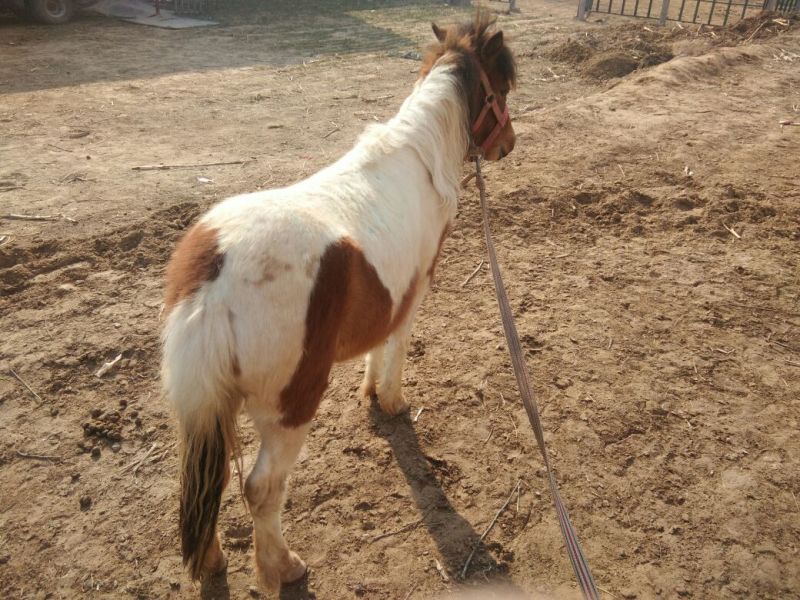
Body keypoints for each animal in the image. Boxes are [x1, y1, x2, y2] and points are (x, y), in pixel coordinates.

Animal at [161, 14, 517, 591]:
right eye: (501, 90)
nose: (509, 143)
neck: (420, 159)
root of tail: (214, 277)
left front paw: (369, 393)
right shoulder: (416, 289)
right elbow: (396, 345)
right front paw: (390, 401)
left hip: (205, 412)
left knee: (205, 483)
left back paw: (213, 562)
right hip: (290, 409)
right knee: (261, 489)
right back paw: (284, 568)